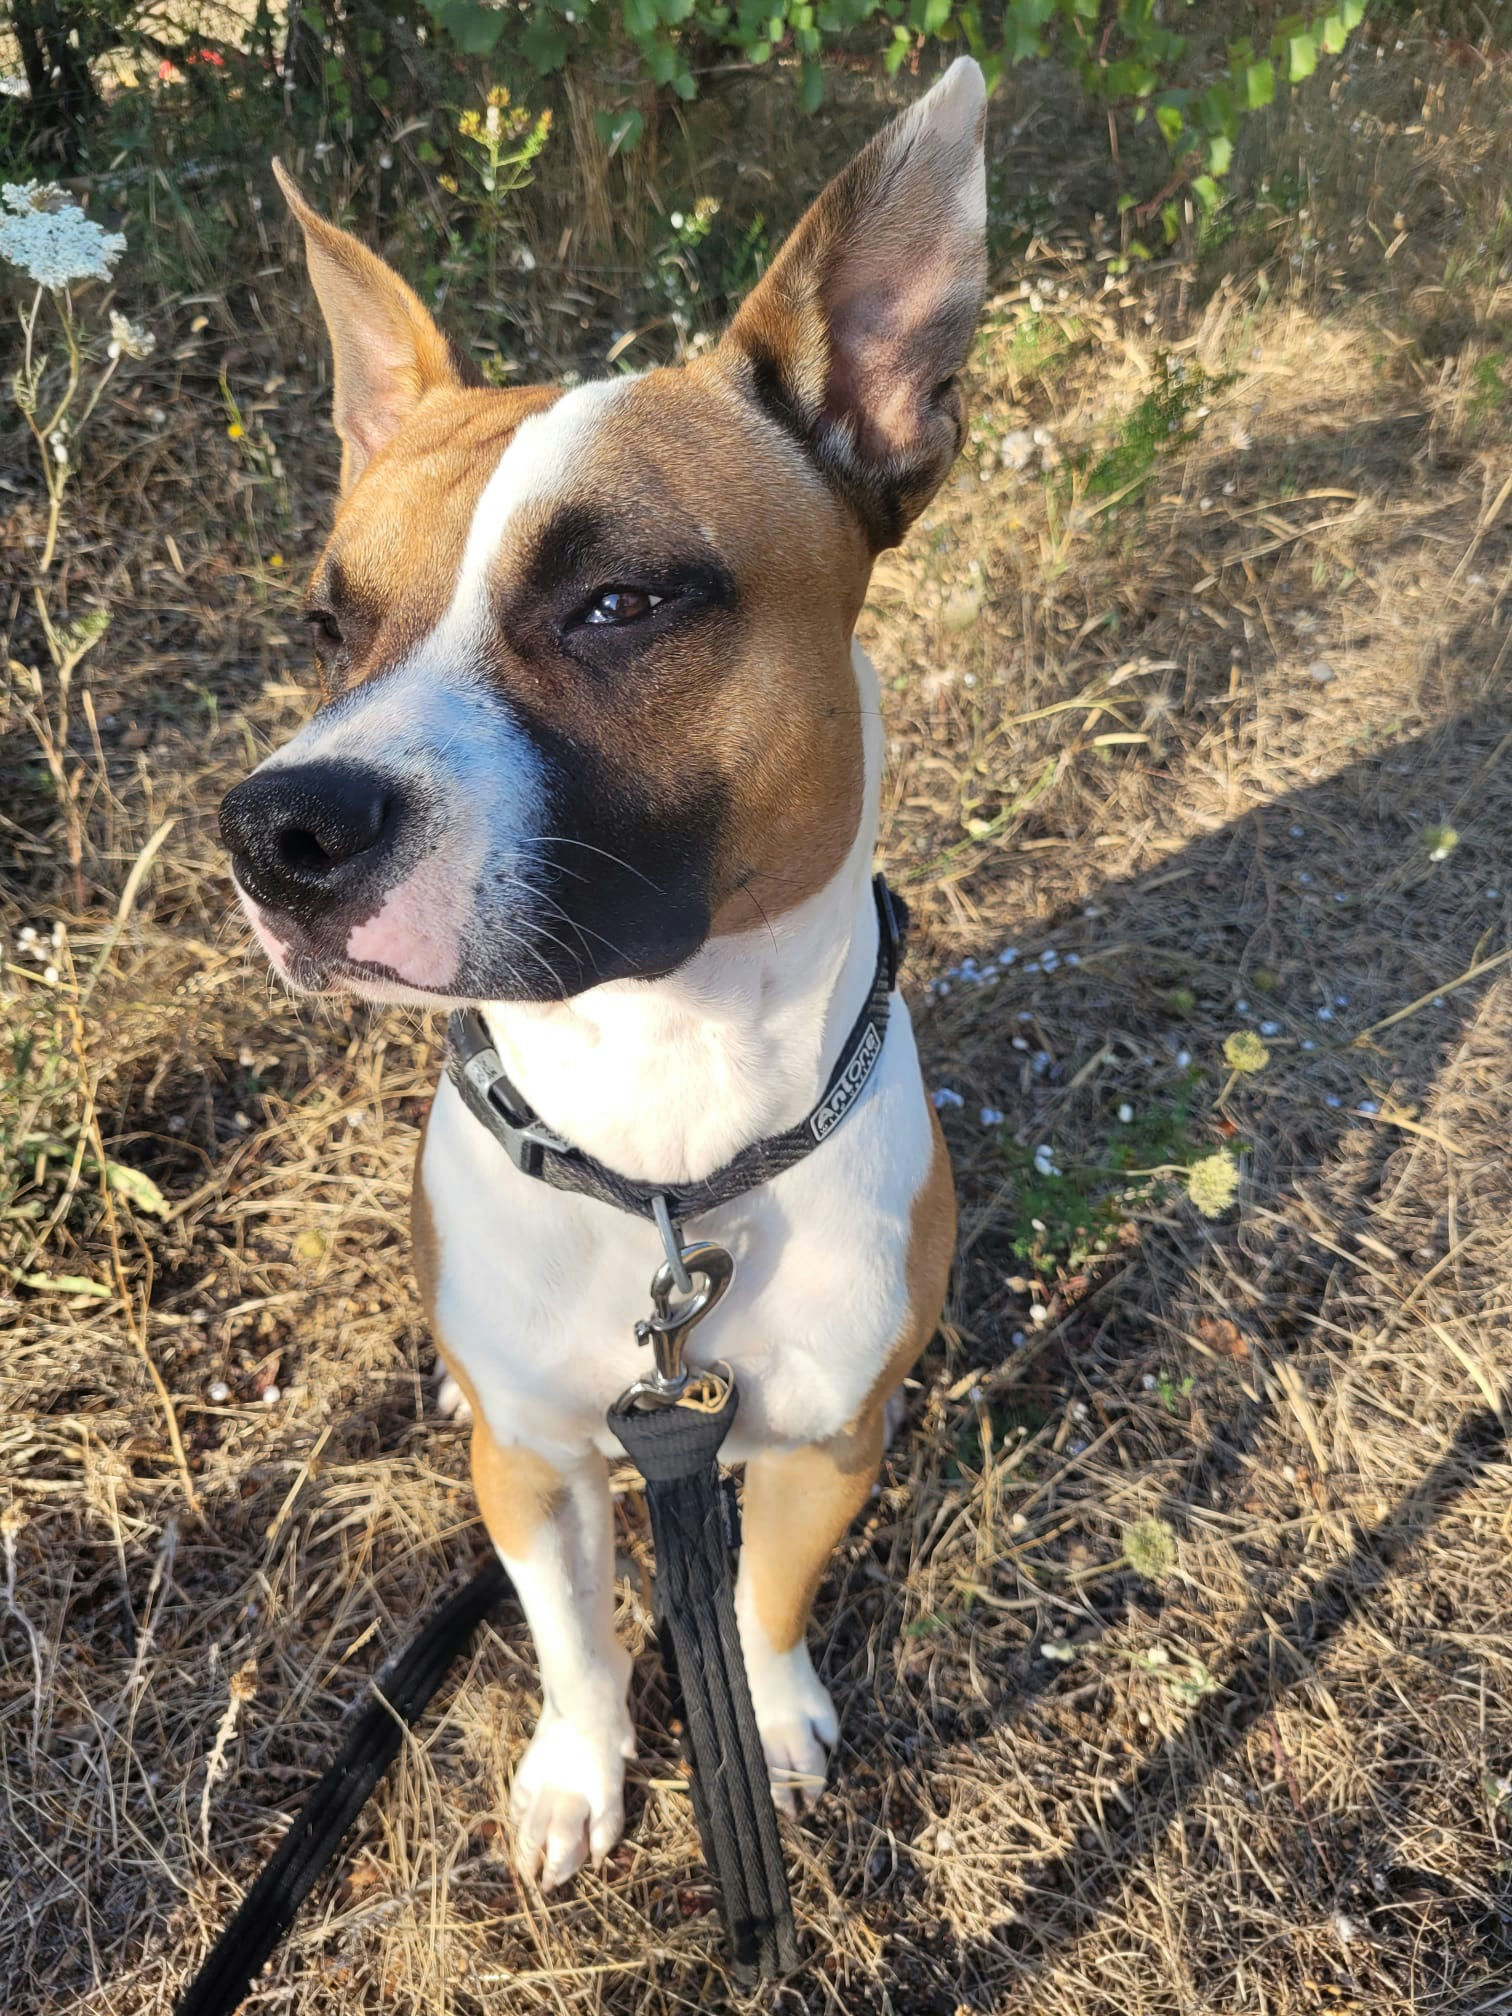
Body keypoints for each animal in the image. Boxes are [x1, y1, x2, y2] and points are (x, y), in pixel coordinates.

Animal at [218, 63, 987, 1886]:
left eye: (619, 602)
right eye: (327, 627)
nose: (276, 827)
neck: (661, 1123)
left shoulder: (823, 1443)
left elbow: (761, 1601)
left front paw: (767, 1726)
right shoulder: (538, 1469)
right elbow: (571, 1638)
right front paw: (580, 1774)